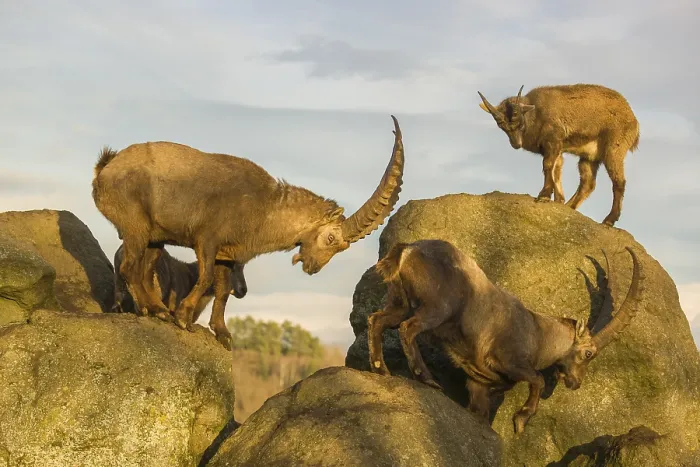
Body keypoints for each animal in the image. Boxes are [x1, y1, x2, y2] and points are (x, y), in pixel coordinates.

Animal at [368, 239, 644, 434]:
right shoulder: (509, 360)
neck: (538, 333)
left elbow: (481, 409)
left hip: (400, 303)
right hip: (435, 309)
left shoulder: (478, 383)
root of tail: (407, 250)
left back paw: (381, 369)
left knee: (376, 321)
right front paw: (521, 420)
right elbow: (538, 380)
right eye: (588, 353)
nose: (575, 382)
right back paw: (426, 378)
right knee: (408, 328)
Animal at [477, 84, 640, 226]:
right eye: (502, 126)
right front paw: (558, 200)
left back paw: (609, 220)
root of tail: (634, 121)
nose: (516, 144)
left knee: (619, 182)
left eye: (520, 122)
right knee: (588, 183)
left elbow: (548, 165)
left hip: (614, 149)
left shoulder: (553, 141)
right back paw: (569, 207)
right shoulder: (557, 149)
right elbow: (557, 171)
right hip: (589, 157)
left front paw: (543, 196)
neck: (537, 112)